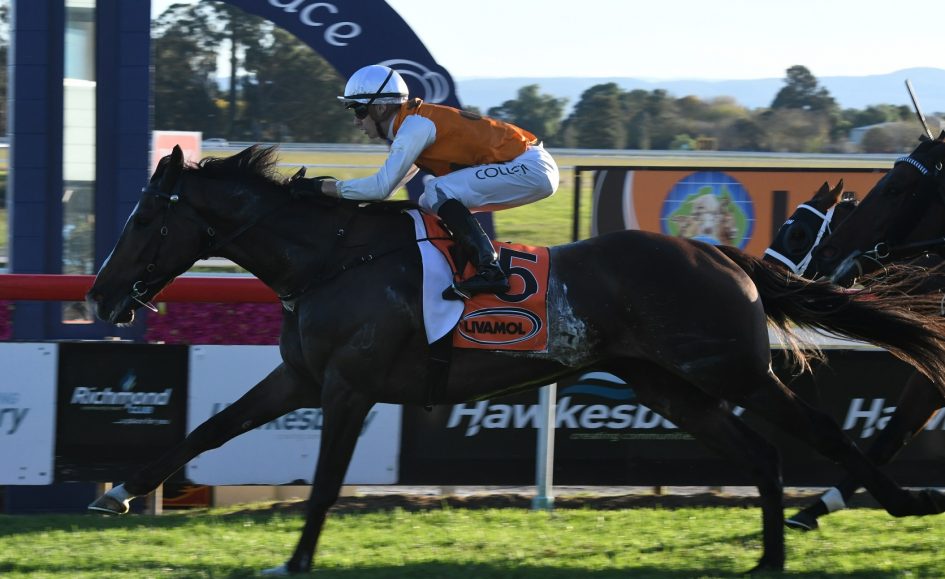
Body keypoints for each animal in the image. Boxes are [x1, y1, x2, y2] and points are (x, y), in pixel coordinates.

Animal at [85, 144, 945, 575]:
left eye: (144, 219)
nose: (100, 295)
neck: (330, 259)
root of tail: (717, 252)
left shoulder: (349, 386)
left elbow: (325, 482)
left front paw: (294, 561)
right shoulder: (298, 377)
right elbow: (210, 429)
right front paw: (117, 491)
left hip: (731, 369)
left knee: (821, 434)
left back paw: (895, 503)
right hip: (670, 385)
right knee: (760, 453)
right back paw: (769, 556)